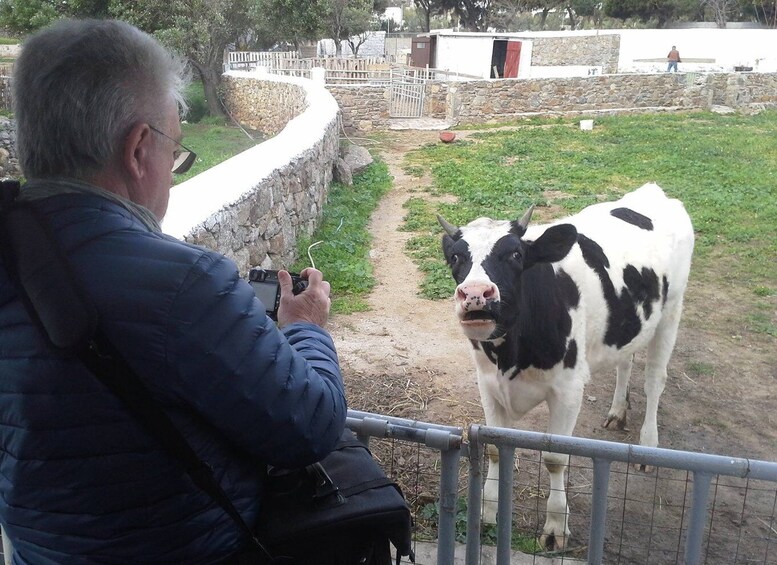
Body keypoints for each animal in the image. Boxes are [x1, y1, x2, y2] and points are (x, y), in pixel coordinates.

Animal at [440, 183, 696, 548]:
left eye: (516, 255)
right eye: (455, 258)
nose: (476, 294)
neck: (511, 356)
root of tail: (653, 191)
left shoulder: (568, 390)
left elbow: (555, 458)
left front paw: (555, 527)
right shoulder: (488, 384)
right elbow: (493, 450)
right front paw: (487, 515)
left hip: (671, 311)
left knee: (654, 381)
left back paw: (648, 446)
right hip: (629, 324)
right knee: (625, 362)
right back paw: (617, 412)